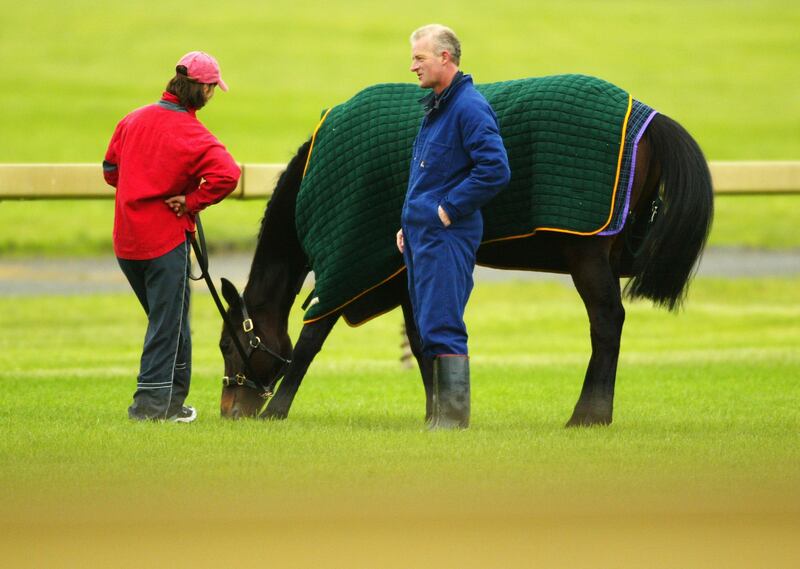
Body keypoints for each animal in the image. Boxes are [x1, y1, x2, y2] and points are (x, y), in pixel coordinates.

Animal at [217, 87, 712, 426]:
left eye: (227, 344)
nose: (228, 409)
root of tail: (648, 117)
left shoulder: (348, 254)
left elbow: (310, 339)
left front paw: (277, 410)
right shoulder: (402, 270)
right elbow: (422, 344)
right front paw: (437, 411)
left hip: (586, 254)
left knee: (607, 322)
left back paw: (589, 413)